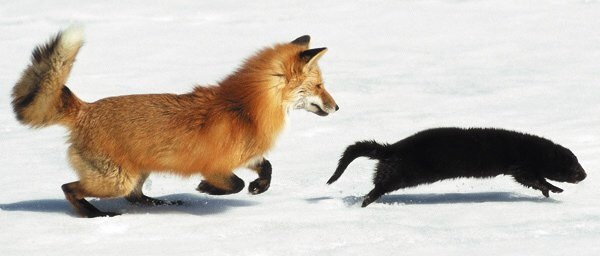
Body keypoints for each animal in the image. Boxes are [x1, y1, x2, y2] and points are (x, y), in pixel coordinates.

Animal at [11, 26, 338, 218]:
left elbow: (267, 168)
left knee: (136, 198)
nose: (337, 107)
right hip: (114, 181)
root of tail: (85, 109)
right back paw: (95, 215)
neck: (245, 108)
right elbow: (233, 184)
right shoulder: (216, 164)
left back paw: (162, 204)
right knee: (69, 187)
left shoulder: (249, 155)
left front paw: (258, 187)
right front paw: (208, 190)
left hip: (136, 173)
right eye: (319, 86)